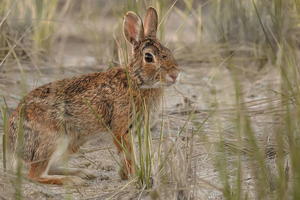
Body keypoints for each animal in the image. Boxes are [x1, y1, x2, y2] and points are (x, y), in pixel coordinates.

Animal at [8, 6, 179, 186]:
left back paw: (82, 173)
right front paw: (134, 177)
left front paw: (125, 175)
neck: (136, 80)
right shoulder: (122, 130)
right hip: (53, 140)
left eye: (169, 51)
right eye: (148, 57)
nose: (175, 75)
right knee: (35, 174)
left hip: (72, 144)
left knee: (50, 168)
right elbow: (128, 156)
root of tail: (14, 145)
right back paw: (72, 180)